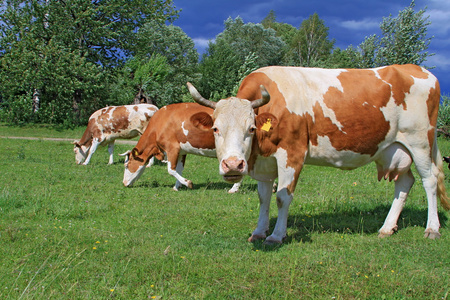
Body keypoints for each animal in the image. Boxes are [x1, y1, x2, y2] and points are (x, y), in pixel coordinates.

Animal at [187, 64, 450, 245]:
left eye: (251, 128)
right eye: (215, 129)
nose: (233, 165)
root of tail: (415, 68)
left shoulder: (291, 153)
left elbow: (282, 197)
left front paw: (276, 235)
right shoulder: (264, 162)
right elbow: (264, 198)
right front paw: (259, 232)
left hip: (420, 142)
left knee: (429, 180)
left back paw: (432, 228)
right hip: (394, 148)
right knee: (405, 182)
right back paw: (387, 227)